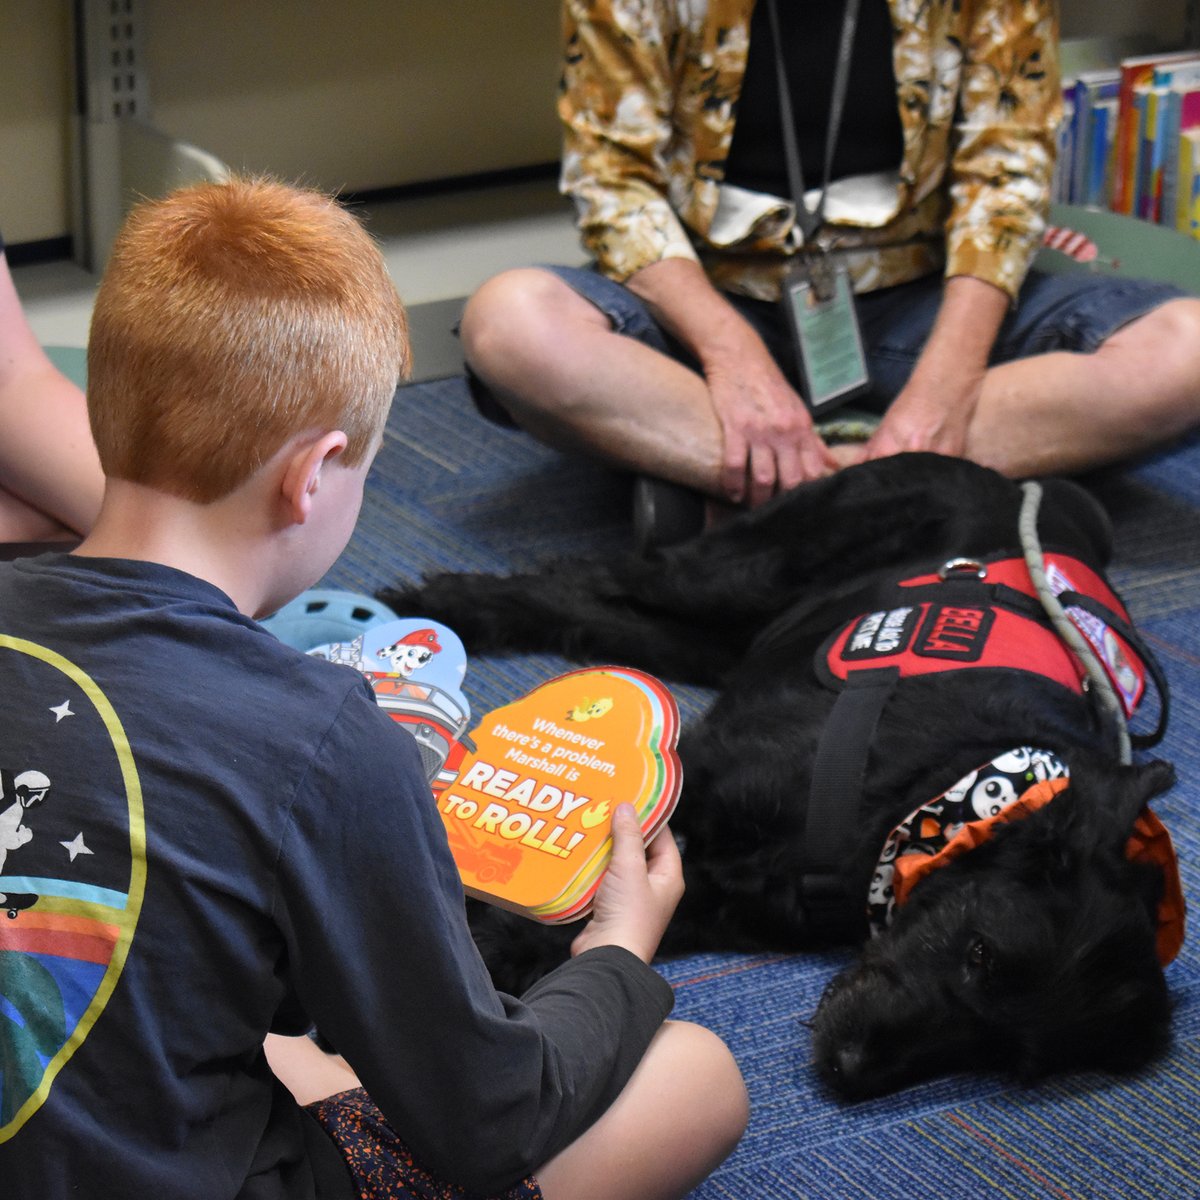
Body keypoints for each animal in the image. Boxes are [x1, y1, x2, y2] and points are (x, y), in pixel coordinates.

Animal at [384, 453, 1180, 1099]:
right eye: (980, 952)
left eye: (1011, 1057)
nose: (851, 1069)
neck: (948, 792)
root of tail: (1010, 481)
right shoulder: (699, 780)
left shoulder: (717, 893)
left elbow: (589, 922)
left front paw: (488, 959)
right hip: (743, 571)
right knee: (597, 574)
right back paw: (441, 605)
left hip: (724, 637)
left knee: (602, 612)